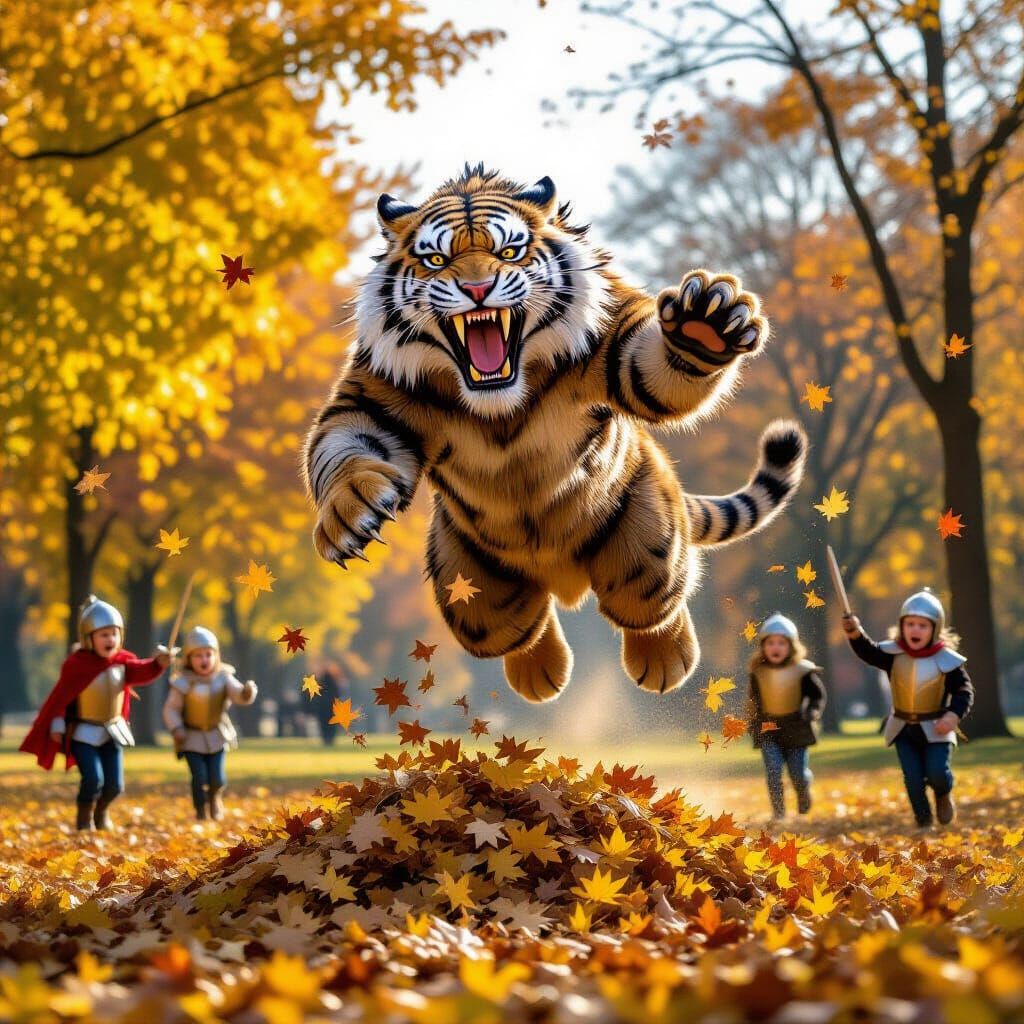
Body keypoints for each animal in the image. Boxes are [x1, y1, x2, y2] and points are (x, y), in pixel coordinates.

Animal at [303, 164, 807, 702]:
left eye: (509, 252)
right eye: (436, 259)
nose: (478, 288)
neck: (499, 406)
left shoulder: (617, 341)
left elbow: (654, 374)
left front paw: (703, 325)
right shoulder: (371, 399)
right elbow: (342, 447)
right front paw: (350, 513)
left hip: (646, 538)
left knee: (648, 604)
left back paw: (665, 663)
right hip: (470, 585)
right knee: (515, 627)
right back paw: (540, 677)